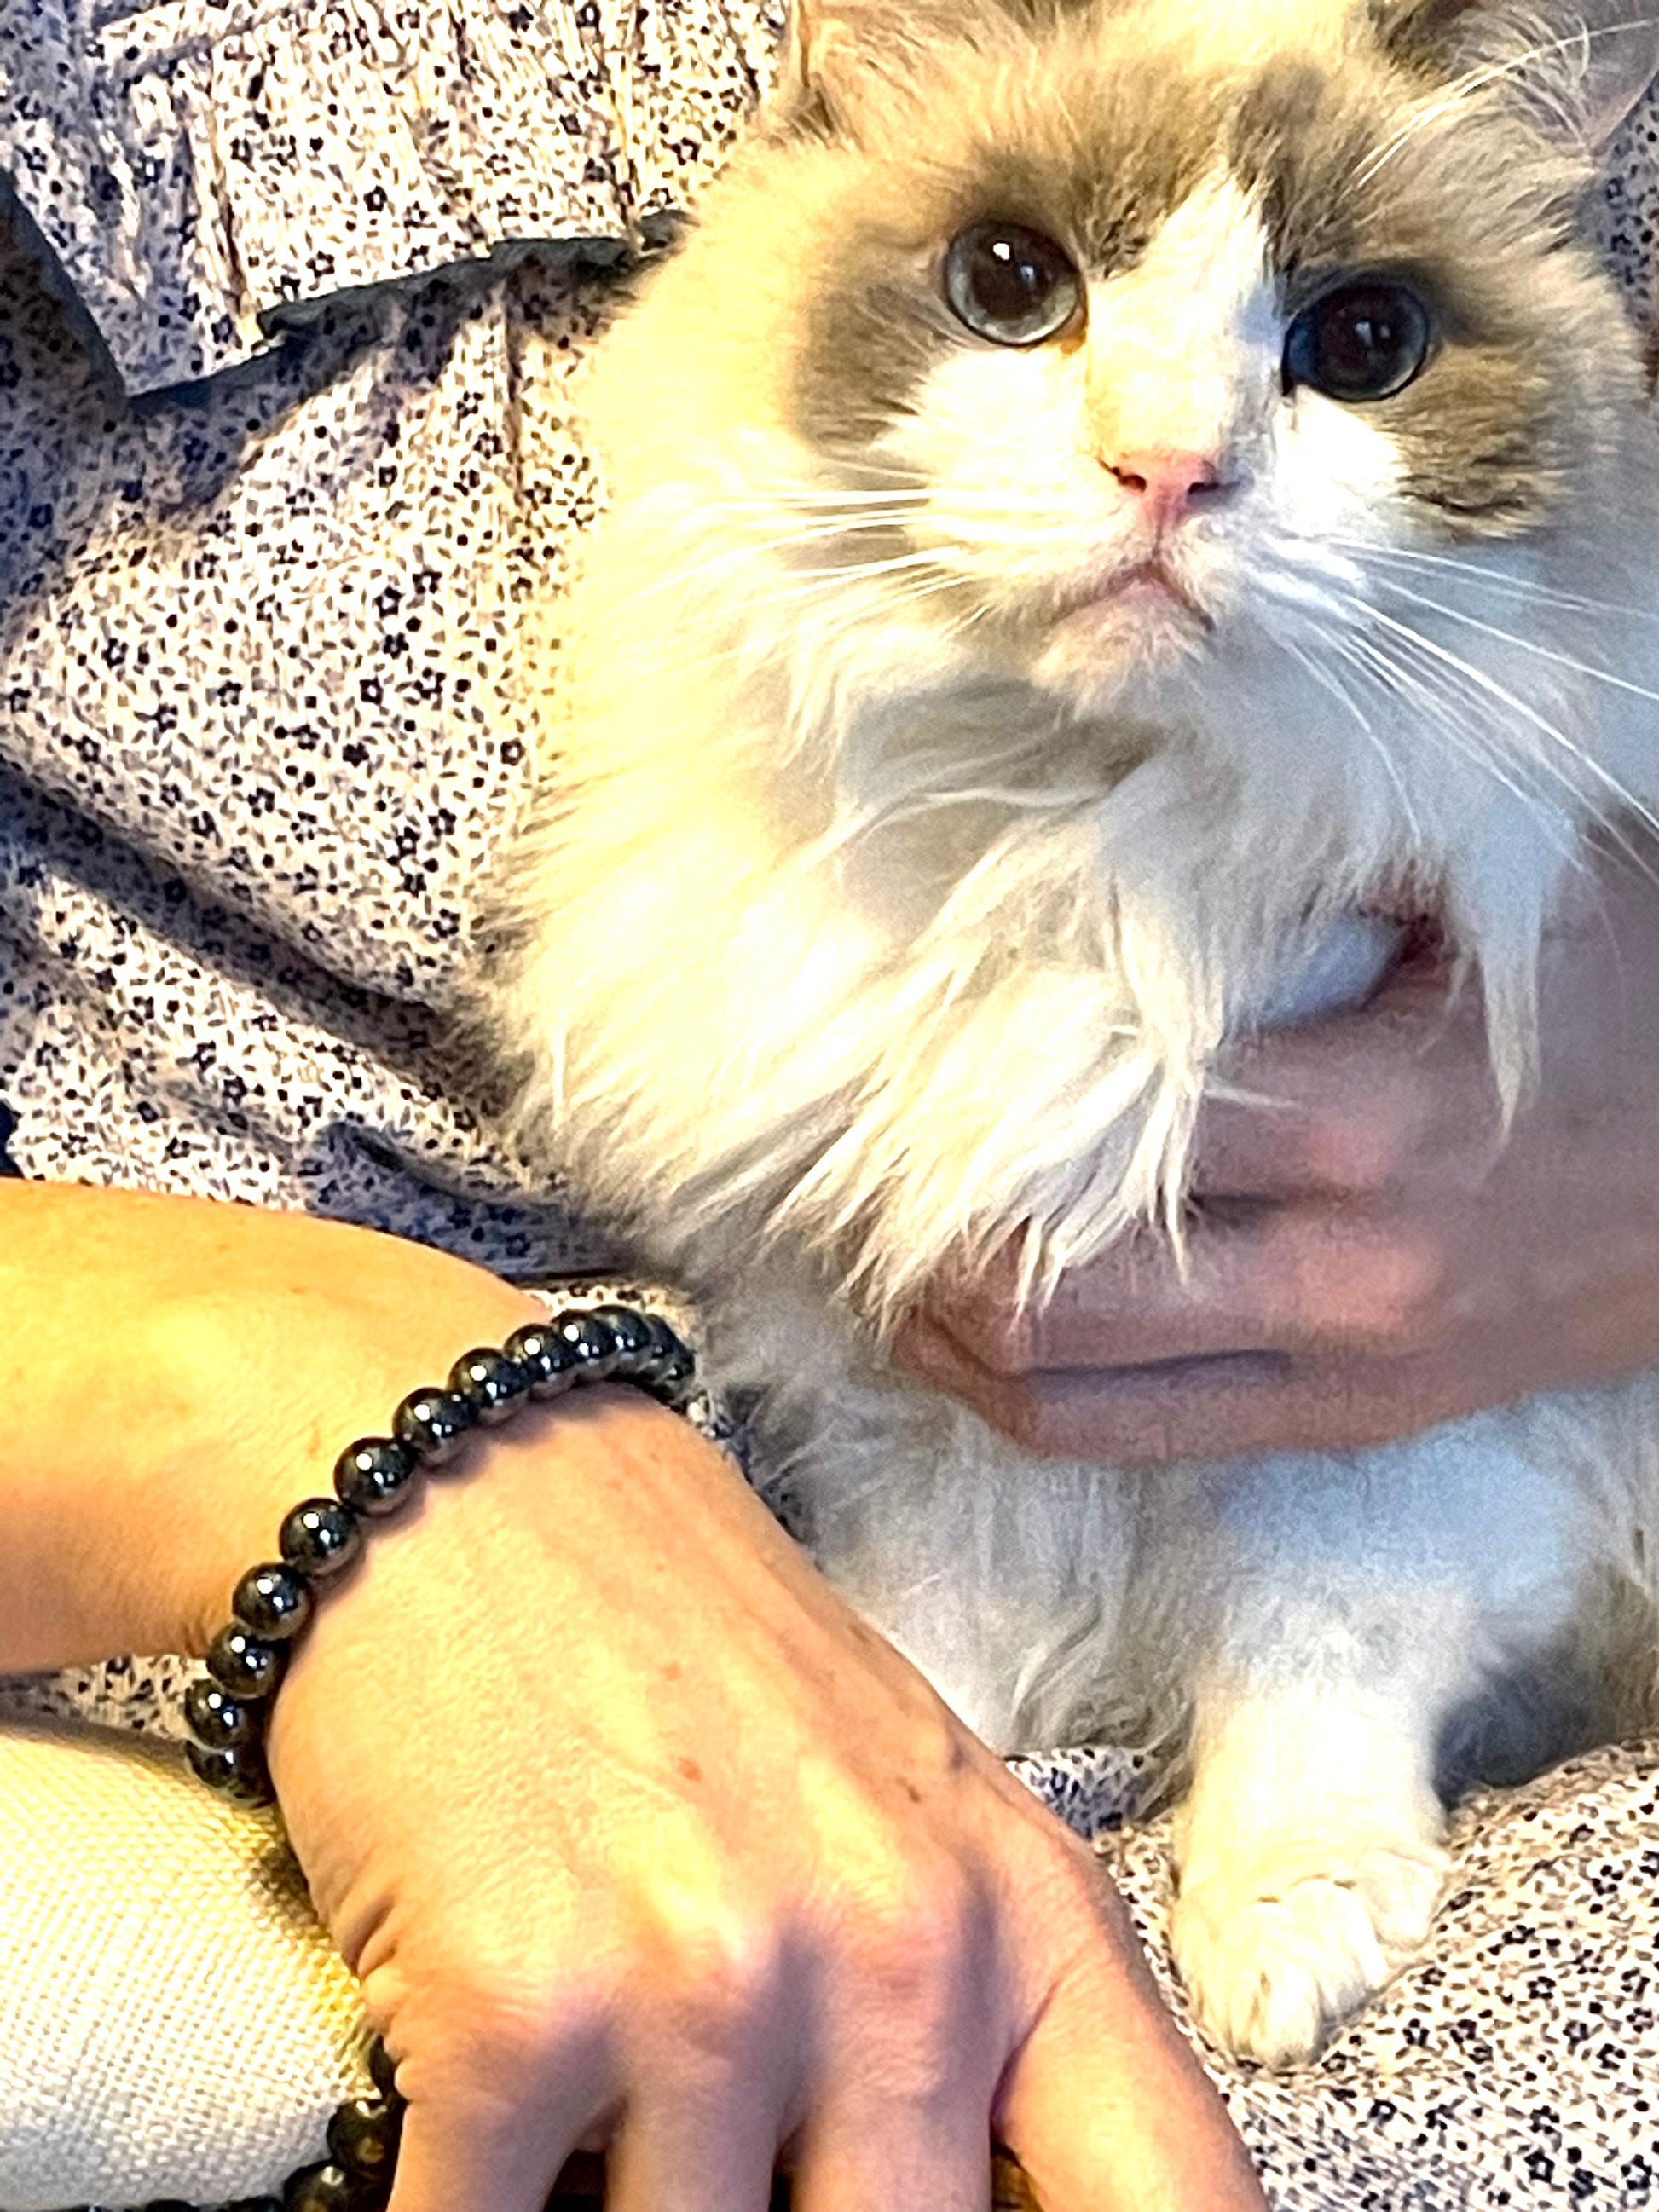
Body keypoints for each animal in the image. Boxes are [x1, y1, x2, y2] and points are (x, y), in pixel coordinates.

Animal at [497, 4, 1659, 2070]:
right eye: (1011, 286)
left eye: (1361, 342)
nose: (1167, 469)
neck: (1073, 844)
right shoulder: (920, 1392)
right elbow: (928, 1659)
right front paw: (912, 1792)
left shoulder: (1382, 1424)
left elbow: (1312, 1663)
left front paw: (1281, 1934)